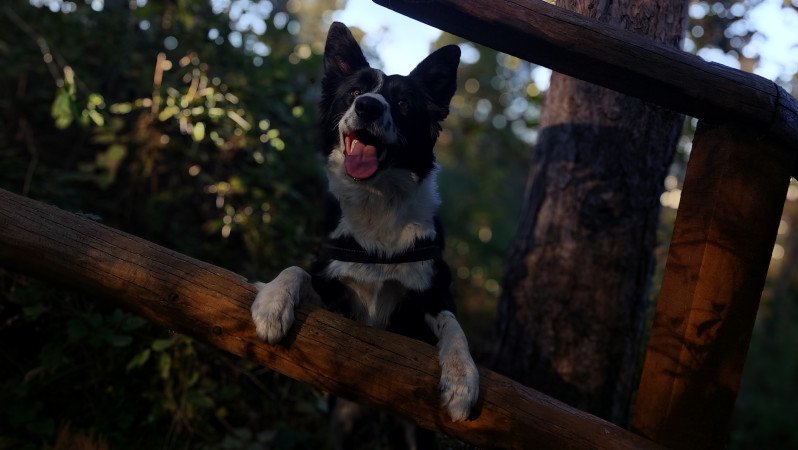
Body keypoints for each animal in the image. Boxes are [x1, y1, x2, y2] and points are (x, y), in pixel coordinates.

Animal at [253, 20, 478, 442]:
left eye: (403, 104)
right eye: (355, 93)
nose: (368, 106)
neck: (378, 204)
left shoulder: (430, 297)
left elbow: (454, 327)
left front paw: (463, 381)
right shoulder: (335, 296)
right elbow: (297, 270)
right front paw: (271, 304)